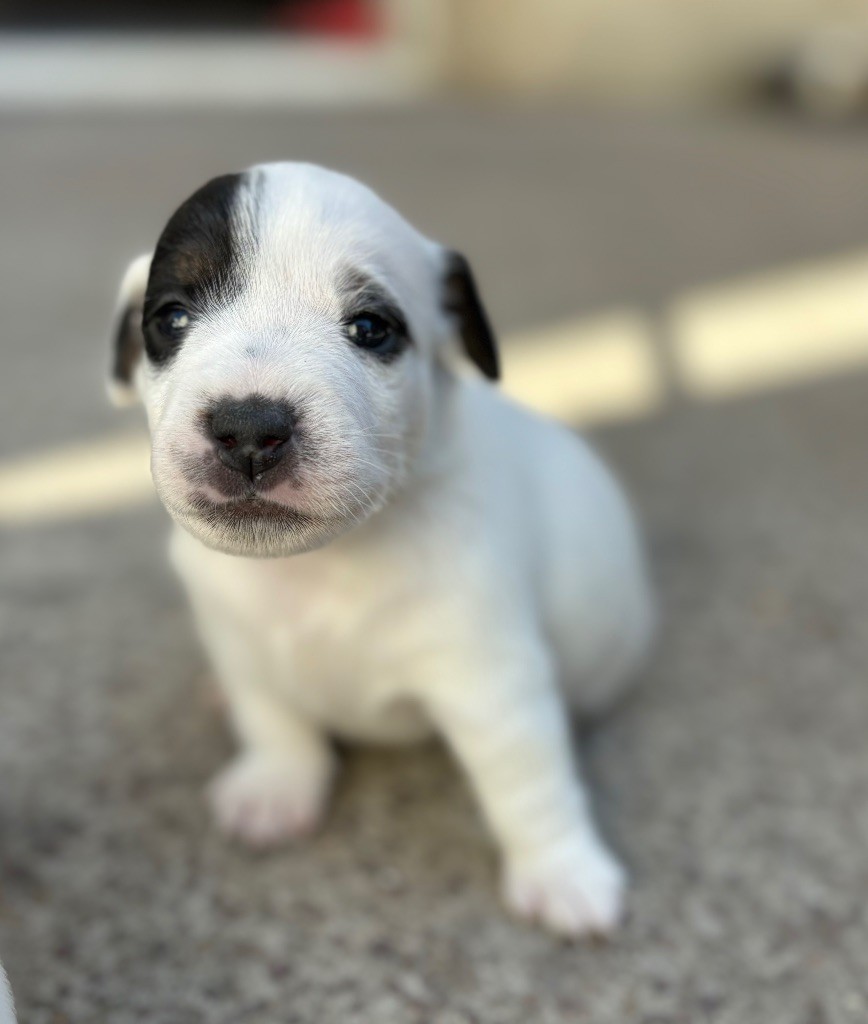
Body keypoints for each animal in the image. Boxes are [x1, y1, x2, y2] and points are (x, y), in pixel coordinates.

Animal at [106, 159, 651, 937]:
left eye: (370, 328)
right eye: (171, 319)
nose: (250, 428)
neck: (319, 567)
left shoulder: (493, 686)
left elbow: (528, 781)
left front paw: (561, 871)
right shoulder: (241, 646)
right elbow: (273, 719)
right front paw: (277, 785)